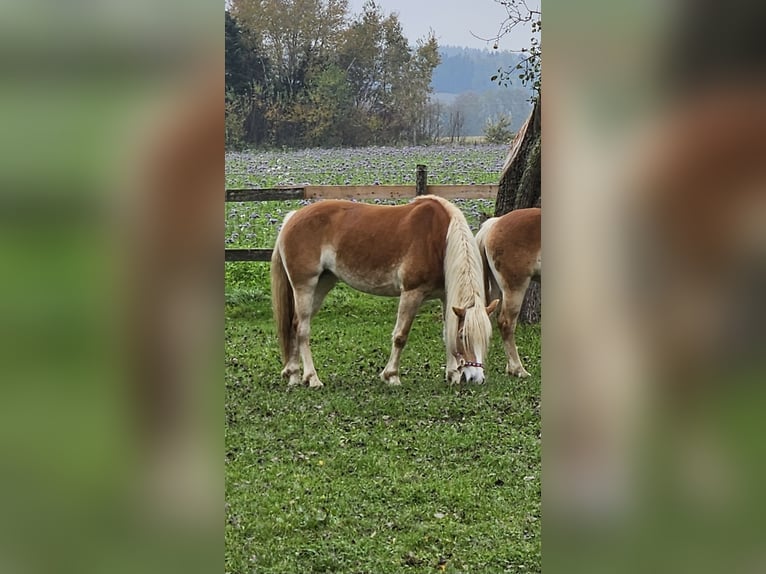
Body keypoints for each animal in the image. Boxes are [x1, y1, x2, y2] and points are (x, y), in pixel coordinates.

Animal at [272, 196, 500, 390]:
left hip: (322, 285)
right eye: (464, 336)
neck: (439, 238)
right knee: (303, 329)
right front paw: (391, 376)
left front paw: (452, 374)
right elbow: (400, 336)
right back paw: (312, 378)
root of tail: (293, 217)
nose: (476, 378)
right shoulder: (412, 293)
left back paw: (294, 375)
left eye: (486, 336)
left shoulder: (446, 297)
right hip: (305, 286)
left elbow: (446, 333)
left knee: (294, 325)